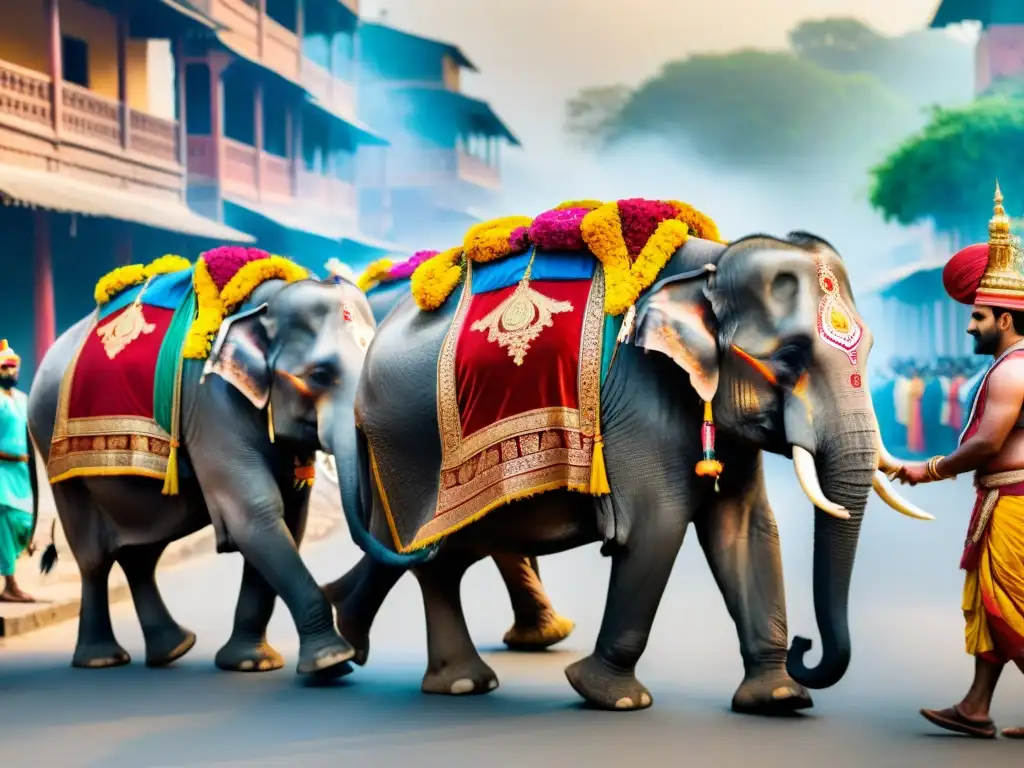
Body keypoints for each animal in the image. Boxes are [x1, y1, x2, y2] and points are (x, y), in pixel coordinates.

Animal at [24, 260, 407, 679]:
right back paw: (101, 659)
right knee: (93, 557)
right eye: (319, 375)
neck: (265, 304)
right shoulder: (211, 404)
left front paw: (252, 663)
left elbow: (288, 519)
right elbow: (255, 512)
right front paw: (332, 662)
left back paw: (172, 649)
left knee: (140, 551)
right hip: (56, 452)